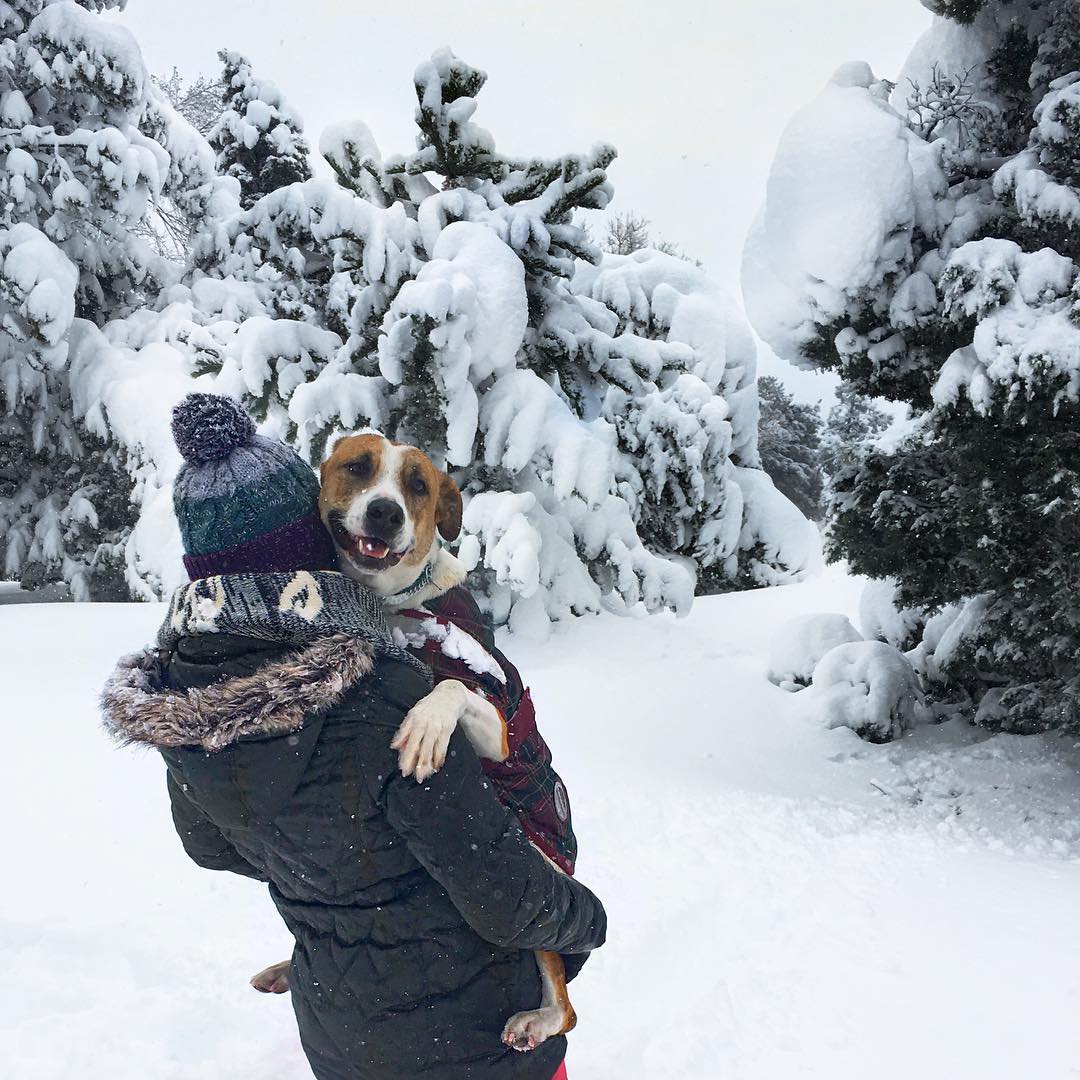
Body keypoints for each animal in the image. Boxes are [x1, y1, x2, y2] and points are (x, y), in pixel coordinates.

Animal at [248, 432, 578, 1054]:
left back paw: (538, 1021)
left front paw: (426, 726)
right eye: (358, 467)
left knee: (565, 1003)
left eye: (419, 485)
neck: (393, 606)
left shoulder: (500, 726)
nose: (386, 511)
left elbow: (451, 685)